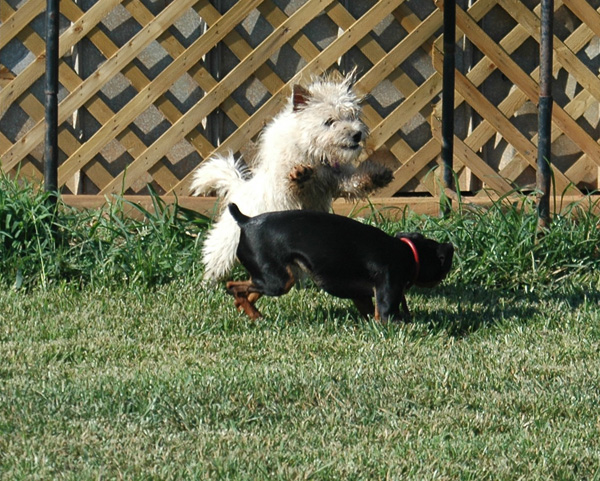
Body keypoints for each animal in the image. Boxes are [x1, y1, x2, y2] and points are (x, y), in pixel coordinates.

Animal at [190, 71, 393, 281]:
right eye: (329, 121)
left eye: (352, 116)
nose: (357, 134)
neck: (312, 153)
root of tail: (239, 188)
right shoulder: (283, 190)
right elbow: (289, 183)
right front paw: (300, 174)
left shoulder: (335, 179)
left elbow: (354, 181)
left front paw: (377, 175)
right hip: (228, 241)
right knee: (216, 259)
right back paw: (208, 282)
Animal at [225, 204, 454, 322]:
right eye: (444, 262)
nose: (450, 246)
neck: (408, 253)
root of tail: (245, 221)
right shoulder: (386, 309)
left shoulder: (361, 298)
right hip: (279, 282)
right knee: (232, 287)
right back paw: (256, 315)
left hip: (270, 276)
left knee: (243, 294)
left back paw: (251, 313)